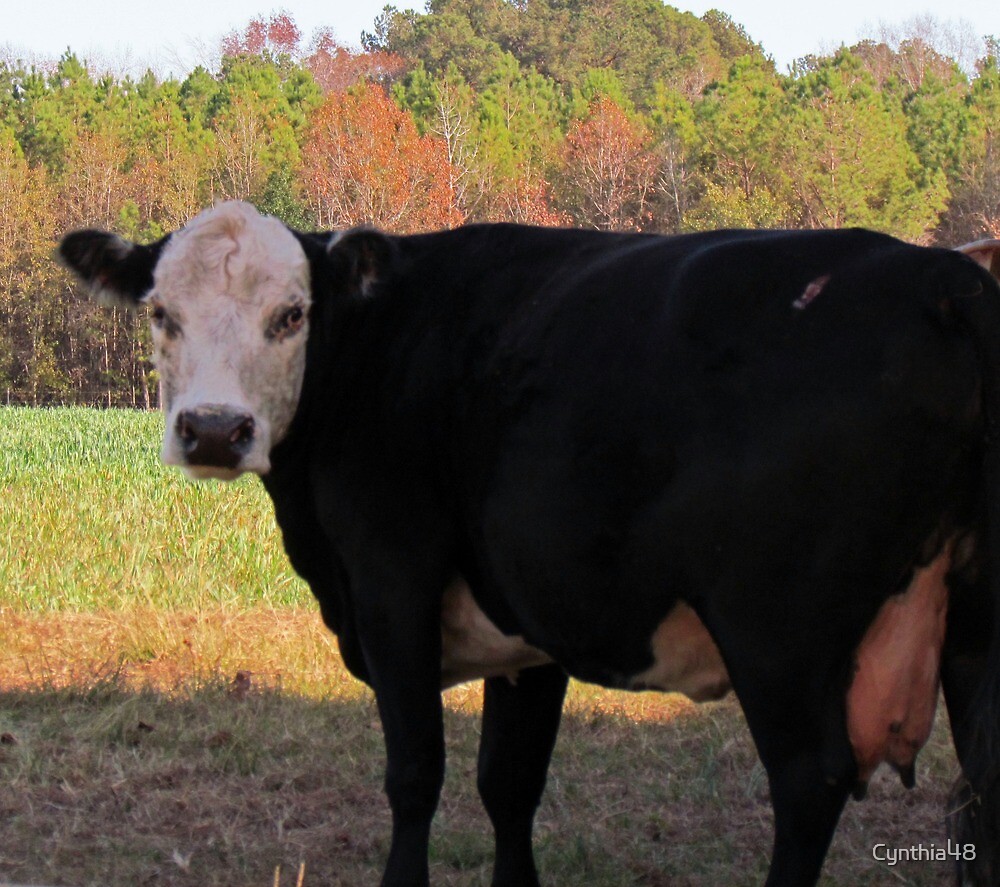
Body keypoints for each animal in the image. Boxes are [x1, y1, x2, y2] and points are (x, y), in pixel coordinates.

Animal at [58, 201, 1000, 886]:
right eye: (161, 313)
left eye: (291, 315)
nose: (215, 430)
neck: (375, 348)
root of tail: (948, 280)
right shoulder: (529, 623)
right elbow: (509, 784)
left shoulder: (391, 581)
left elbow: (416, 772)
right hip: (970, 628)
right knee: (981, 782)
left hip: (777, 631)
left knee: (809, 781)